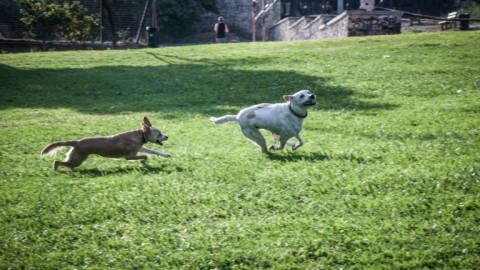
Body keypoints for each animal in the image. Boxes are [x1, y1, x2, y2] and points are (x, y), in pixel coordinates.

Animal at [40, 116, 171, 171]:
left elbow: (154, 151)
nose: (167, 136)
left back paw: (73, 171)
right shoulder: (129, 156)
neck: (141, 135)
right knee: (57, 162)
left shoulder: (139, 148)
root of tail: (76, 142)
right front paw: (142, 161)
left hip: (78, 159)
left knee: (68, 164)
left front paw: (166, 155)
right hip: (77, 160)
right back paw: (55, 169)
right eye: (159, 134)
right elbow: (145, 156)